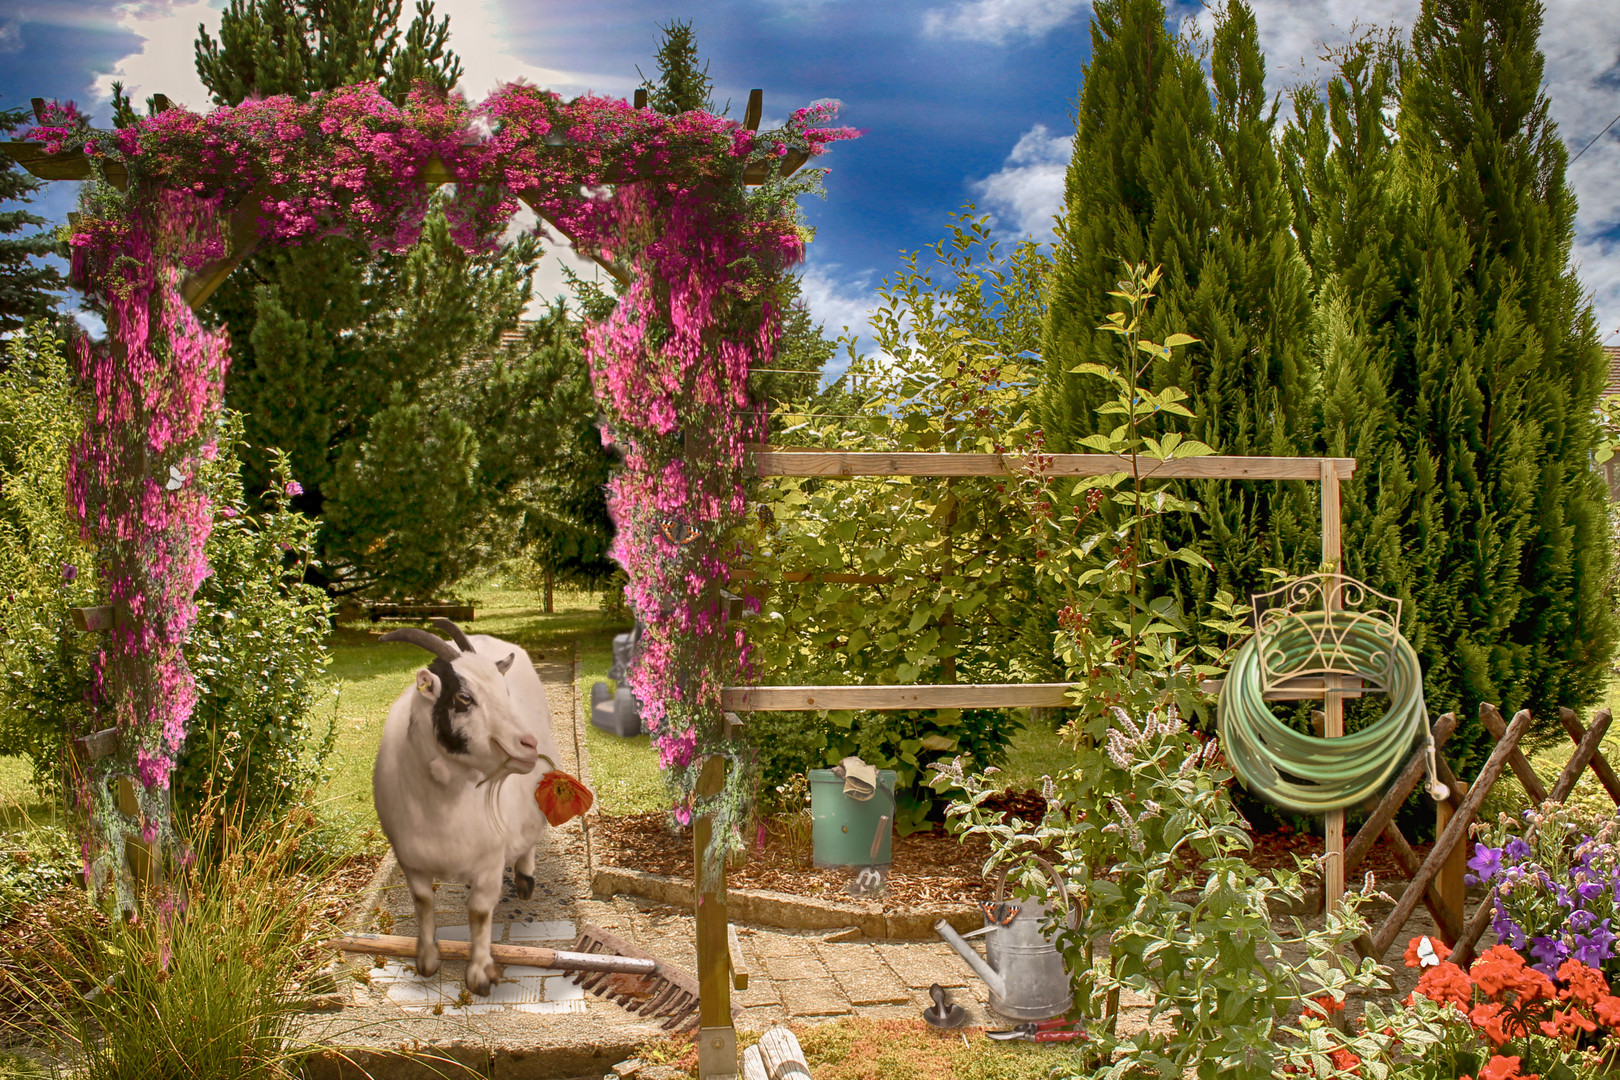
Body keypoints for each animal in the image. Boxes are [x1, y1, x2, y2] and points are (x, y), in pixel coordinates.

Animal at [372, 621, 563, 990]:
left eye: (505, 692)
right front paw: (427, 960)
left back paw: (525, 878)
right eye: (463, 697)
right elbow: (423, 903)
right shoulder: (408, 859)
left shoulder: (489, 860)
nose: (528, 744)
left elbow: (479, 912)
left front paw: (479, 974)